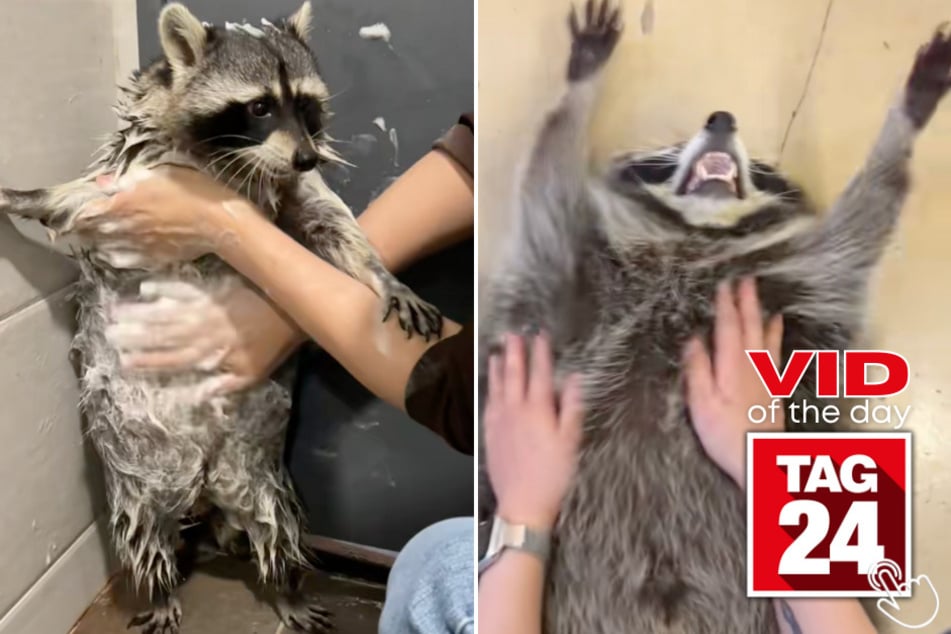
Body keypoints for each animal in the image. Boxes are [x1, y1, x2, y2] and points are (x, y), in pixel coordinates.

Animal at [0, 3, 442, 632]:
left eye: (304, 104)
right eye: (259, 107)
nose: (308, 155)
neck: (222, 158)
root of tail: (204, 486)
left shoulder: (288, 184)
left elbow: (329, 220)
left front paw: (382, 273)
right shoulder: (129, 170)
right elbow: (77, 197)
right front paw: (24, 196)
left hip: (262, 480)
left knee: (277, 530)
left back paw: (284, 586)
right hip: (137, 481)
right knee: (142, 533)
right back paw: (159, 588)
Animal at [479, 2, 951, 632]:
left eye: (765, 171)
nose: (723, 118)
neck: (696, 237)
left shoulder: (809, 274)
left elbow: (869, 212)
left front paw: (904, 122)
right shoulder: (570, 266)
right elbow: (546, 175)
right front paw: (578, 88)